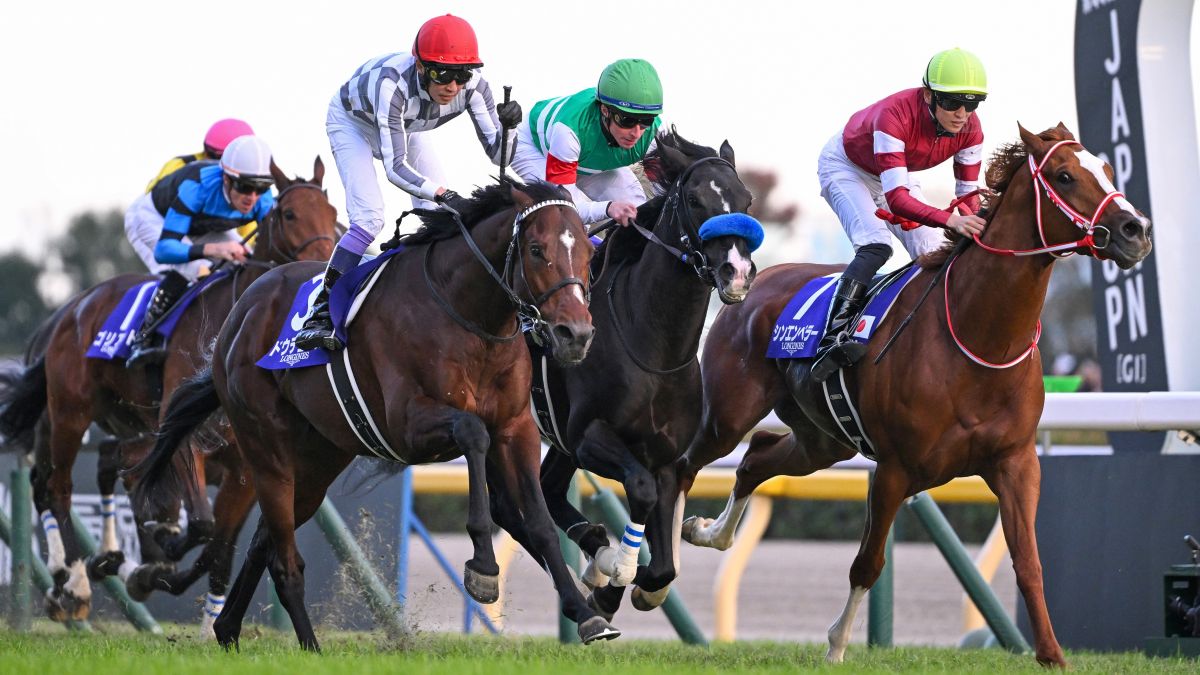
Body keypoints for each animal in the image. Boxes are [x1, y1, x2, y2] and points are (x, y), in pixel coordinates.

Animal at [0, 157, 338, 627]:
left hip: (124, 420)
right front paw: (157, 550)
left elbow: (218, 549)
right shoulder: (184, 435)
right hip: (69, 413)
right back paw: (75, 581)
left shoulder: (245, 468)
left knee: (105, 468)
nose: (324, 272)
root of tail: (71, 310)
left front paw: (179, 593)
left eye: (333, 214)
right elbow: (200, 525)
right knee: (58, 487)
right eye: (289, 215)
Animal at [131, 180, 609, 650]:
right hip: (265, 451)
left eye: (589, 255)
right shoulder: (408, 426)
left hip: (318, 461)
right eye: (536, 249)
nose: (576, 333)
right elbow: (473, 433)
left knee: (264, 542)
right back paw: (309, 647)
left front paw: (586, 614)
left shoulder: (516, 428)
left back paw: (227, 628)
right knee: (284, 561)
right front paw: (483, 569)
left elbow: (541, 521)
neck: (469, 315)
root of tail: (239, 314)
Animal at [531, 131, 758, 622]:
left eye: (746, 199)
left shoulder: (665, 456)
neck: (653, 345)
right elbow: (640, 490)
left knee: (549, 487)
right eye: (694, 199)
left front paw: (627, 584)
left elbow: (665, 565)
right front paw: (614, 573)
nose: (737, 273)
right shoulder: (590, 435)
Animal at [673, 124, 1152, 667]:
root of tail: (749, 282)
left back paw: (706, 531)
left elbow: (1029, 562)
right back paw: (657, 569)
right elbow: (867, 563)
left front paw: (1051, 655)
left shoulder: (1016, 463)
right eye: (1065, 175)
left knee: (756, 457)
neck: (979, 335)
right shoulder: (894, 469)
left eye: (1108, 169)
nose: (1135, 230)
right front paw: (837, 646)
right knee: (687, 465)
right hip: (727, 416)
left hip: (822, 441)